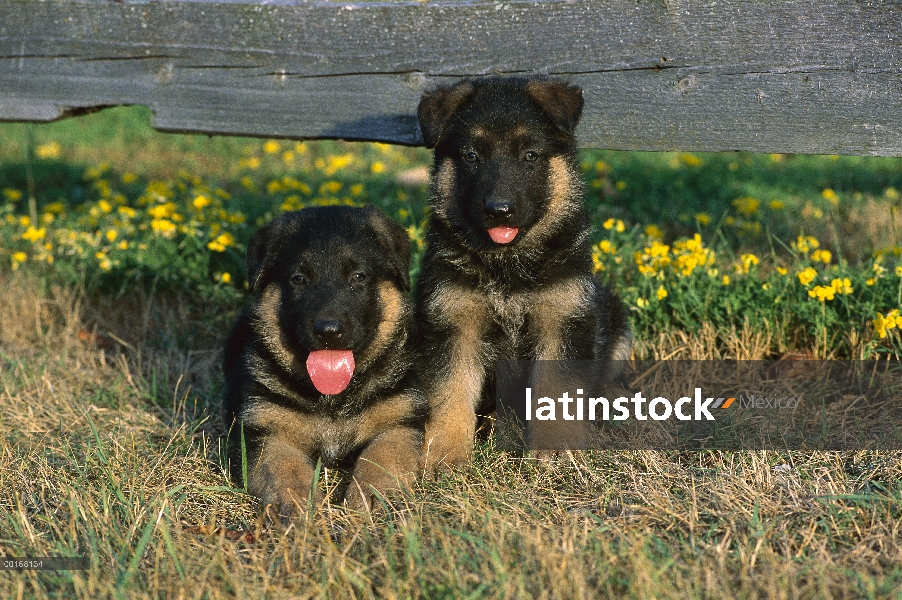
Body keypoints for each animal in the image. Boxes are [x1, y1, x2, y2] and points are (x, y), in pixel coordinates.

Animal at [224, 205, 426, 516]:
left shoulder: (400, 421)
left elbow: (383, 455)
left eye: (358, 277)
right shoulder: (267, 432)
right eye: (299, 279)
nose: (328, 331)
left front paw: (372, 492)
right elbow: (285, 467)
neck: (335, 401)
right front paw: (297, 500)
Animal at [414, 76, 632, 468]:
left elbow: (557, 389)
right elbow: (450, 392)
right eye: (471, 156)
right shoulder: (452, 326)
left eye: (530, 155)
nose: (499, 210)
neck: (507, 265)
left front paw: (557, 447)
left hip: (615, 317)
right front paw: (446, 453)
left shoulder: (563, 320)